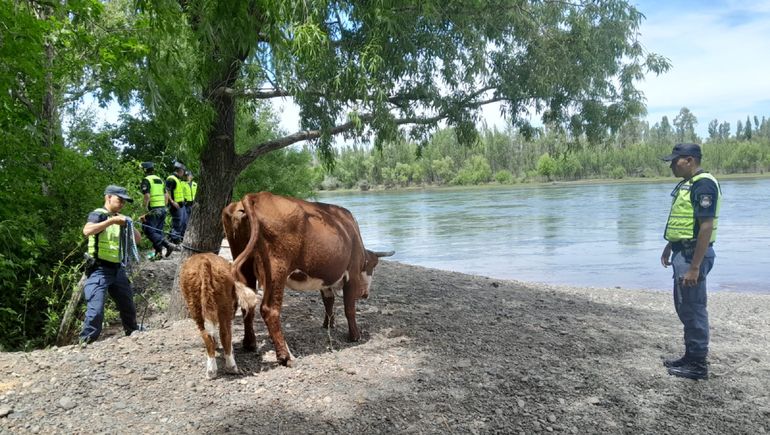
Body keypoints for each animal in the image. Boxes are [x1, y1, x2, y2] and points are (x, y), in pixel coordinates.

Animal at [222, 191, 394, 366]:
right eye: (372, 266)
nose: (365, 294)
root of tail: (256, 196)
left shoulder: (326, 280)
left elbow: (328, 302)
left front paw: (328, 324)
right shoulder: (351, 275)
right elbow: (349, 308)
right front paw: (355, 336)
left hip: (245, 266)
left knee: (248, 305)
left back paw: (250, 344)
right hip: (276, 269)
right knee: (269, 309)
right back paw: (285, 356)